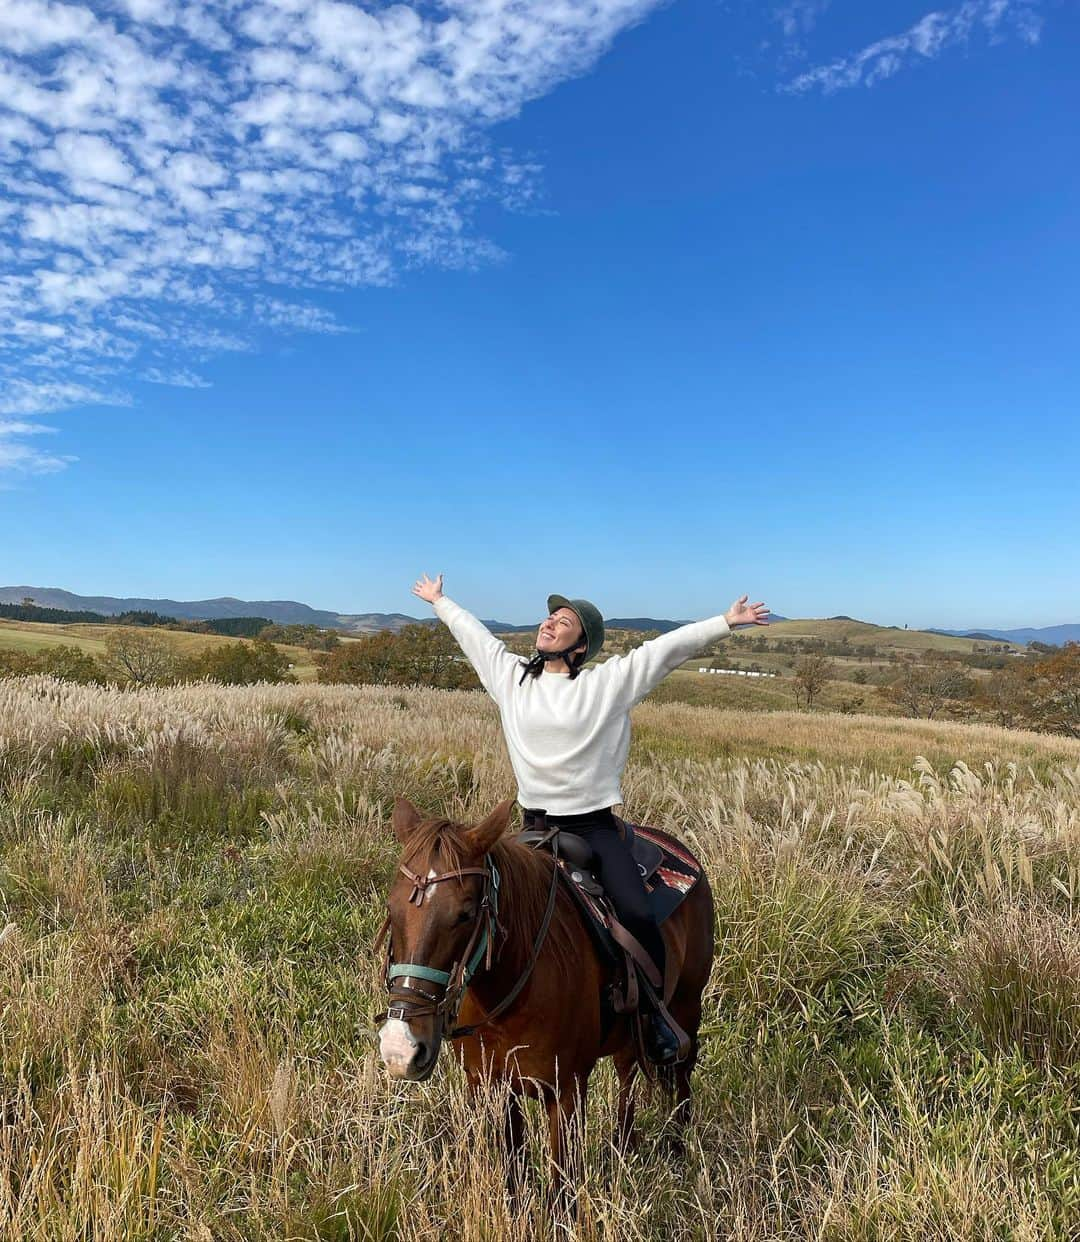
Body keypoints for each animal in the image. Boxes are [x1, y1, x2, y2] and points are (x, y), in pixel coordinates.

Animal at [377, 794, 720, 1172]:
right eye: (391, 909)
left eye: (465, 914)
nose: (401, 1048)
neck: (509, 995)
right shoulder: (495, 1087)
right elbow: (514, 1175)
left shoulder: (566, 1091)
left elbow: (561, 1183)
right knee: (627, 1070)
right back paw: (624, 1145)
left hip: (687, 1004)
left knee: (682, 1073)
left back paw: (677, 1148)